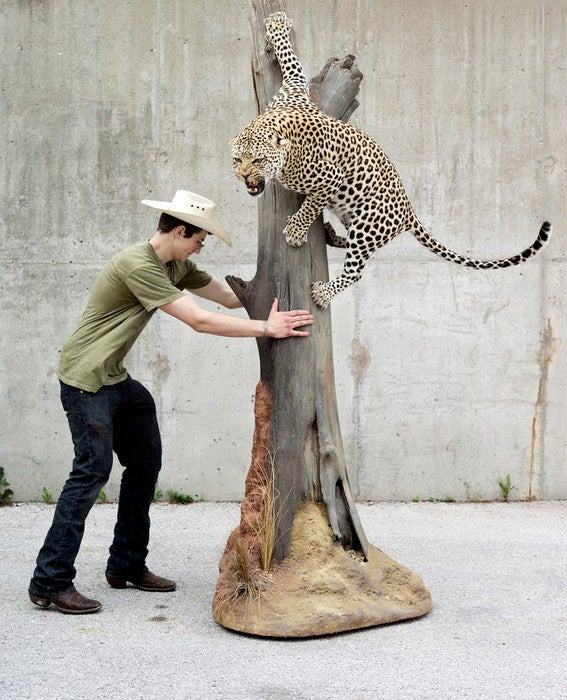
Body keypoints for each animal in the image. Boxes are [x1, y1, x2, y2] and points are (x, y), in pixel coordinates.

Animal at [230, 12, 552, 308]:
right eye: (236, 160)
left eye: (257, 160)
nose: (244, 176)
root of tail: (408, 209)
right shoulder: (293, 89)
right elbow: (291, 60)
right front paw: (277, 24)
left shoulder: (330, 177)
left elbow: (311, 204)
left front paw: (296, 231)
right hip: (357, 219)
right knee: (360, 247)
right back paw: (331, 235)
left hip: (368, 223)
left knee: (357, 269)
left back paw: (324, 292)